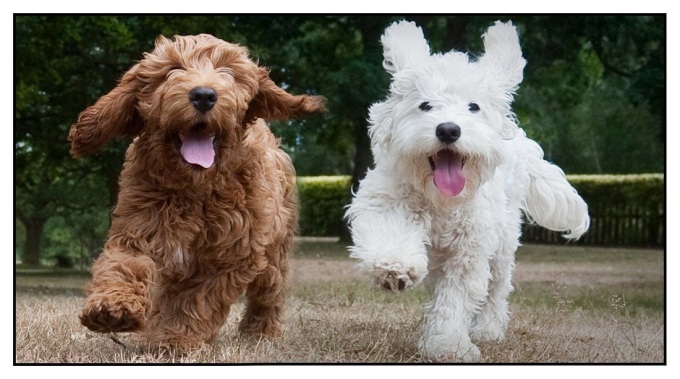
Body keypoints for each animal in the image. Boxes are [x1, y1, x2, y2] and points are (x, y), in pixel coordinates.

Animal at [68, 34, 326, 352]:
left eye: (229, 72)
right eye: (172, 69)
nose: (204, 95)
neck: (196, 187)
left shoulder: (232, 254)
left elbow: (199, 300)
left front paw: (175, 338)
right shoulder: (141, 227)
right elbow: (125, 264)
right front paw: (113, 307)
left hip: (274, 247)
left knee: (269, 290)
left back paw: (261, 332)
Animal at [346, 20, 588, 362]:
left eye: (474, 106)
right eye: (425, 105)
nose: (448, 129)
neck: (440, 201)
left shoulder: (469, 249)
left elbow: (455, 300)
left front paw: (447, 345)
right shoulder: (384, 201)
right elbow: (389, 234)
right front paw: (395, 267)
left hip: (503, 242)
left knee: (497, 287)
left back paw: (488, 328)